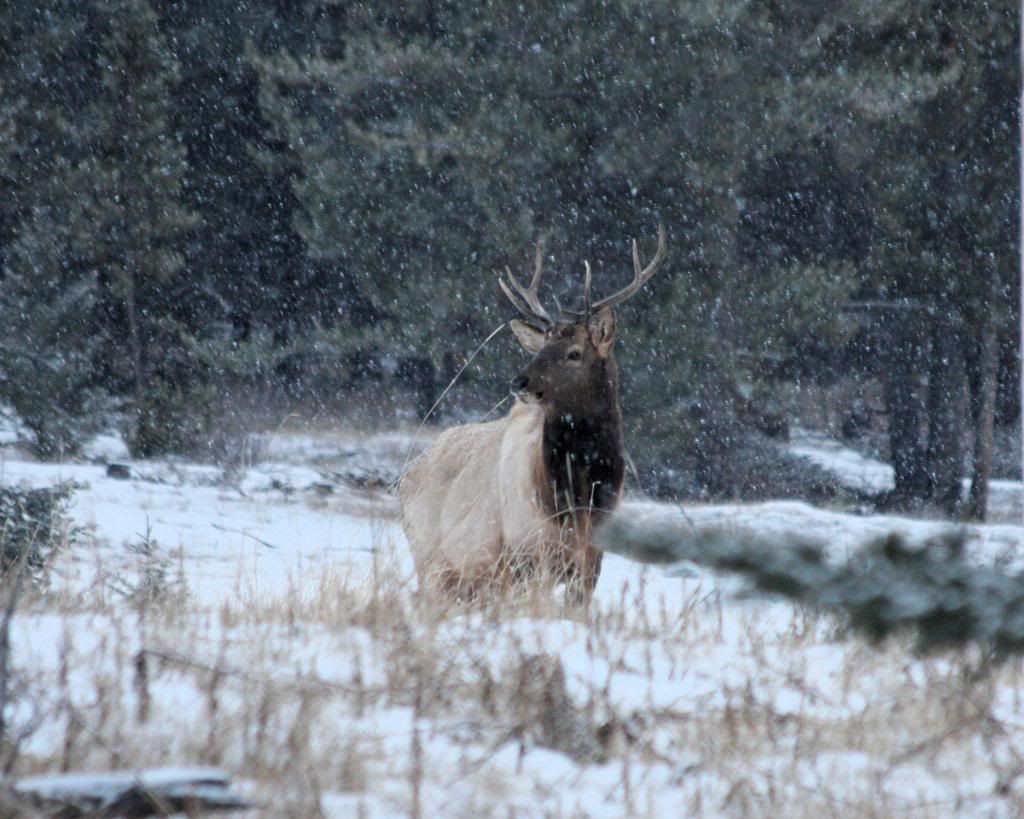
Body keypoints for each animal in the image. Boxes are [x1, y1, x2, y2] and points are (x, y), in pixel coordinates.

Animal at [395, 227, 667, 606]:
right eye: (541, 348)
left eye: (574, 353)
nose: (518, 382)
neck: (577, 500)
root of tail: (404, 477)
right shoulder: (526, 552)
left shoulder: (590, 559)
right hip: (433, 561)